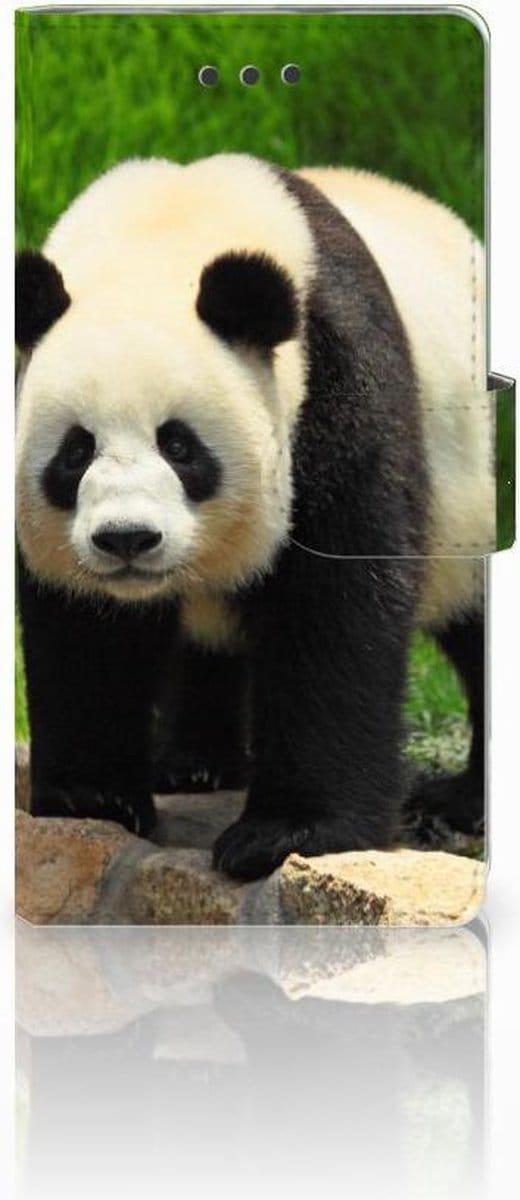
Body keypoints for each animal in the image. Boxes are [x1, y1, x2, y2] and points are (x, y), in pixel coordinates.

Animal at [15, 153, 492, 881]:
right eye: (75, 451)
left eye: (179, 445)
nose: (127, 539)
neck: (165, 233)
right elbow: (83, 629)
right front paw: (90, 797)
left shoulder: (336, 386)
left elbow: (335, 607)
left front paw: (289, 833)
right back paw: (193, 763)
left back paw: (462, 801)